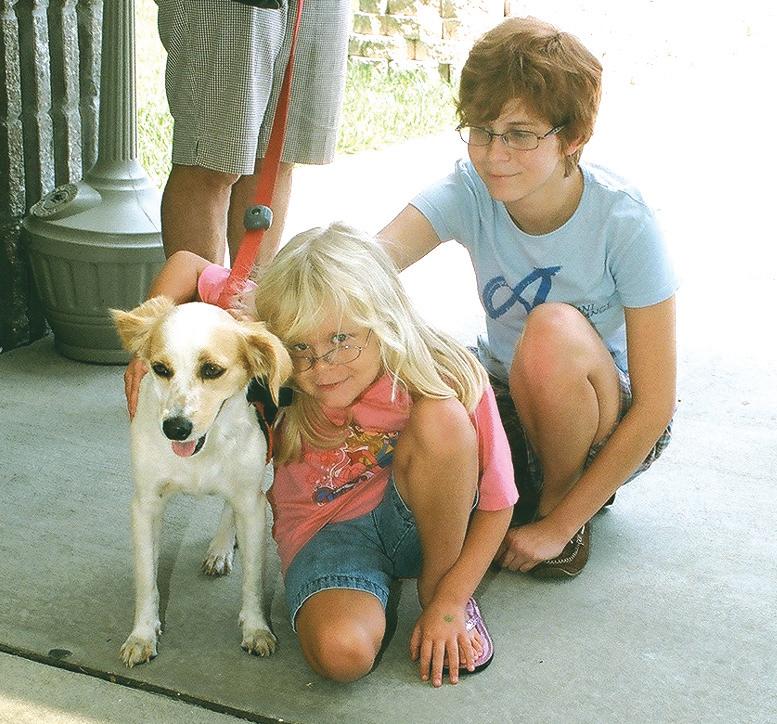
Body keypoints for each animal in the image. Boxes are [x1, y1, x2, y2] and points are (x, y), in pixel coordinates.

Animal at [111, 296, 291, 668]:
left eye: (211, 370)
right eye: (160, 368)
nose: (175, 428)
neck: (200, 450)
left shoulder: (253, 505)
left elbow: (253, 579)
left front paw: (256, 629)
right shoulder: (146, 506)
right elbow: (146, 580)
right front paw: (142, 635)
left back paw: (221, 547)